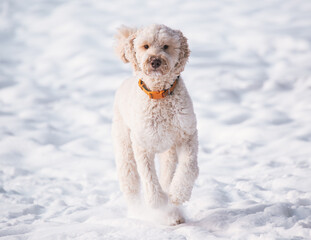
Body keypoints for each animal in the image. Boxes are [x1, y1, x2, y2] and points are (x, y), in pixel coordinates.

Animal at [113, 24, 199, 225]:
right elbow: (149, 176)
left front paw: (178, 194)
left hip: (169, 150)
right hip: (124, 147)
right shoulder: (142, 145)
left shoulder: (187, 135)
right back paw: (141, 212)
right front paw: (157, 202)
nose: (155, 61)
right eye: (145, 46)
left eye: (166, 46)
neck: (159, 95)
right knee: (130, 183)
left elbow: (189, 166)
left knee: (167, 174)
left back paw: (173, 212)